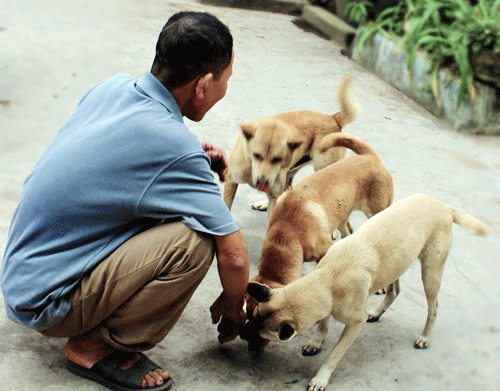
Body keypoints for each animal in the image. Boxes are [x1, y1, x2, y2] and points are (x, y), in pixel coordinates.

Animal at [223, 76, 360, 217]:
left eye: (277, 159)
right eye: (257, 155)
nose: (263, 182)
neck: (252, 168)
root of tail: (333, 118)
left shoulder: (273, 193)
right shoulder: (231, 182)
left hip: (322, 168)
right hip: (291, 171)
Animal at [240, 132, 392, 352]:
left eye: (258, 318)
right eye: (248, 314)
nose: (244, 336)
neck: (286, 235)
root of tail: (369, 156)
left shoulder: (324, 252)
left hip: (378, 212)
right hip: (342, 216)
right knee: (349, 232)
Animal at [246, 195, 488, 391]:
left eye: (262, 336)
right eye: (251, 317)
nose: (244, 333)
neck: (329, 279)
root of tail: (444, 206)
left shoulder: (355, 322)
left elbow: (334, 355)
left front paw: (321, 378)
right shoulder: (326, 302)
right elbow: (323, 322)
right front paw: (317, 341)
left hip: (430, 272)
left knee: (434, 307)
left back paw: (425, 337)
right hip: (397, 264)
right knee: (395, 291)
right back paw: (378, 312)